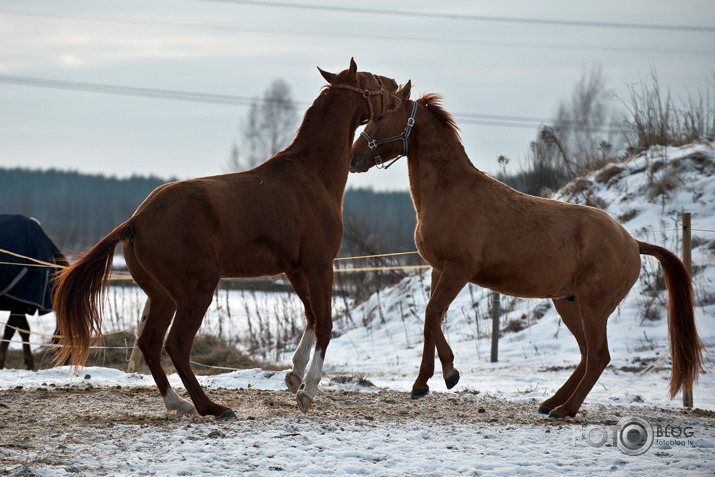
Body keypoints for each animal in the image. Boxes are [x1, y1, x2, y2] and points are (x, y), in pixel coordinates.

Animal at [0, 214, 68, 370]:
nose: (70, 364)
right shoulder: (19, 302)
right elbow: (9, 332)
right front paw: (0, 363)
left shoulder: (20, 303)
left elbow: (24, 330)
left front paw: (29, 363)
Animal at [54, 58, 402, 416]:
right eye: (371, 79)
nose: (398, 87)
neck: (311, 176)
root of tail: (137, 220)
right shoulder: (320, 265)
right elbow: (326, 323)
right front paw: (308, 389)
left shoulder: (295, 269)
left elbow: (311, 316)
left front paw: (294, 374)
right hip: (197, 291)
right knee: (176, 344)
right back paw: (212, 407)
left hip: (162, 296)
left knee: (149, 343)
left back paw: (178, 403)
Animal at [350, 82, 708, 416]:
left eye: (380, 116)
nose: (353, 157)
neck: (450, 192)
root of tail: (633, 242)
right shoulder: (438, 270)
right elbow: (430, 320)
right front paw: (421, 384)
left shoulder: (459, 270)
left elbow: (431, 314)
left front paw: (450, 374)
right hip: (568, 304)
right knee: (587, 355)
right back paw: (551, 403)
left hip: (593, 307)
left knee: (598, 356)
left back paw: (565, 410)